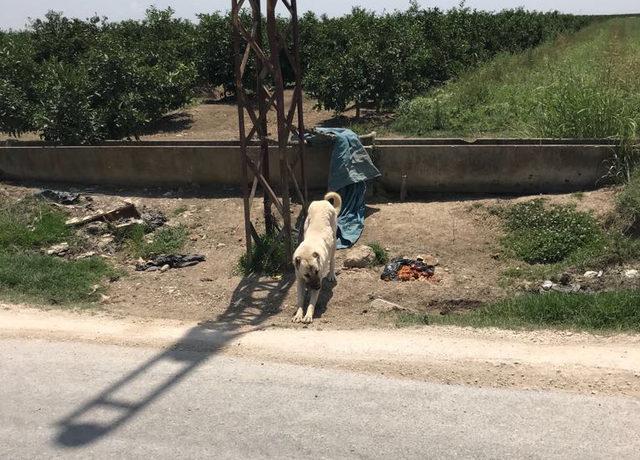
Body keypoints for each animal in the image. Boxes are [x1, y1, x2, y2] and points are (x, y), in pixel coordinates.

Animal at [292, 190, 342, 324]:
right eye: (307, 275)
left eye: (317, 271)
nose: (319, 286)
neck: (307, 250)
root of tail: (323, 202)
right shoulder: (300, 280)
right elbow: (300, 300)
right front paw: (299, 314)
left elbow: (311, 303)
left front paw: (308, 315)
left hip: (333, 244)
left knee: (332, 260)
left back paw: (331, 275)